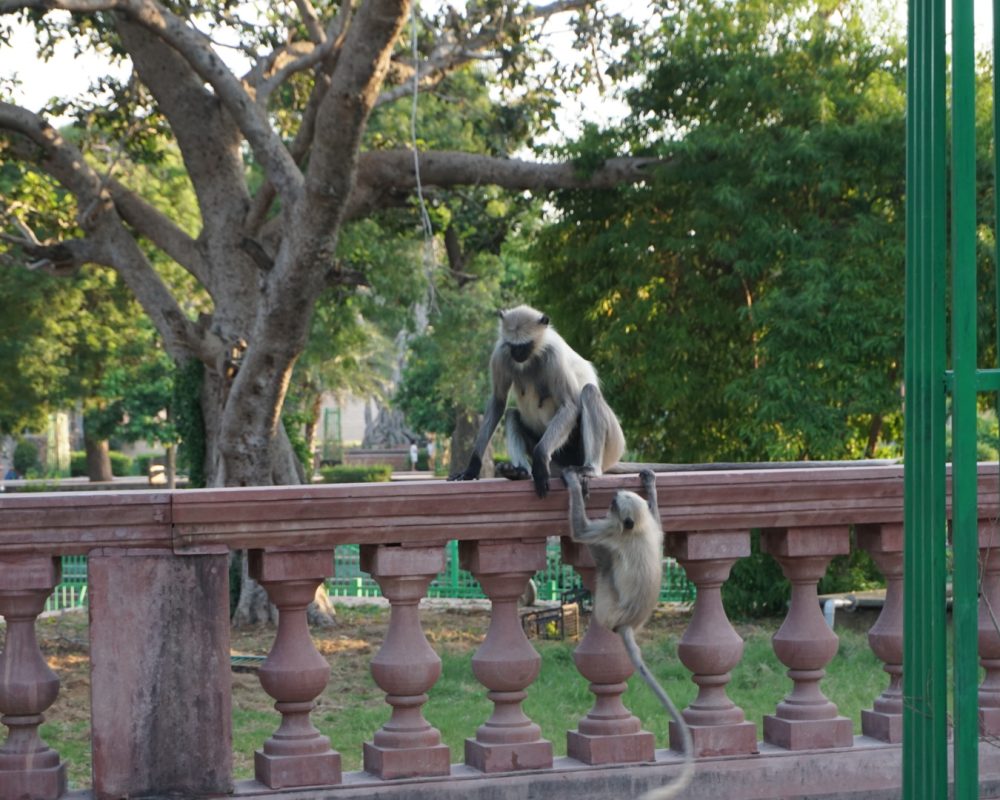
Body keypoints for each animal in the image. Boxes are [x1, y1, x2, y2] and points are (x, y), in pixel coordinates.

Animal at [449, 305, 625, 498]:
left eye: (525, 345)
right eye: (513, 345)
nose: (517, 354)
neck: (532, 357)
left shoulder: (554, 356)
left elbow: (569, 405)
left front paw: (540, 459)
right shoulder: (501, 352)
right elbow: (498, 401)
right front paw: (472, 467)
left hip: (612, 445)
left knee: (589, 392)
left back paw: (590, 469)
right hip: (557, 460)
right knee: (512, 413)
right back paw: (520, 473)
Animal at [563, 466, 694, 800]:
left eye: (614, 503)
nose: (611, 495)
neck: (635, 530)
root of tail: (627, 623)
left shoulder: (611, 530)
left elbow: (581, 530)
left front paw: (572, 482)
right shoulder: (651, 529)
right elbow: (659, 523)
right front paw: (650, 484)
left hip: (606, 603)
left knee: (603, 563)